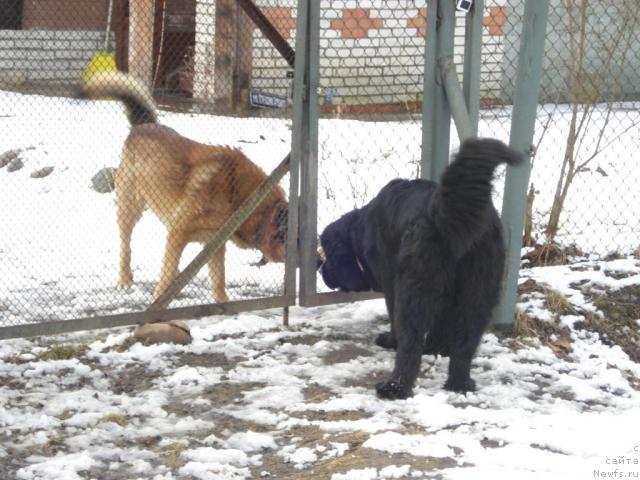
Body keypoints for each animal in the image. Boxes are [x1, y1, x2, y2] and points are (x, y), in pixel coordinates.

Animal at [81, 71, 286, 302]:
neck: (240, 197)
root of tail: (143, 125)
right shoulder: (179, 234)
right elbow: (167, 277)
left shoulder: (214, 245)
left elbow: (218, 281)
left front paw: (222, 304)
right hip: (130, 209)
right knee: (126, 247)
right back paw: (125, 279)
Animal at [322, 138, 524, 398]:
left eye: (327, 256)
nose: (321, 271)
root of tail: (445, 210)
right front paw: (437, 349)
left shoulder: (391, 281)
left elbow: (395, 316)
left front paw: (392, 341)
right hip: (479, 289)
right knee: (467, 340)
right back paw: (459, 383)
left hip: (415, 286)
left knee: (410, 337)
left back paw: (395, 386)